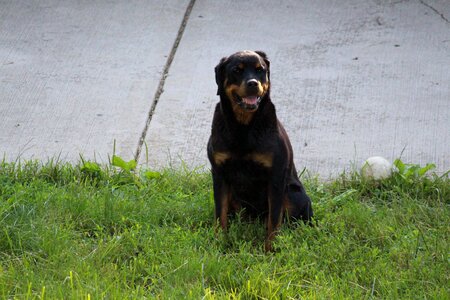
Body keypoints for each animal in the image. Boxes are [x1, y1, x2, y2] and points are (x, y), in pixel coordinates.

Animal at [207, 49, 312, 251]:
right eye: (236, 70)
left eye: (260, 69)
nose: (253, 83)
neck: (243, 127)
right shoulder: (219, 174)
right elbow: (219, 213)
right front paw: (219, 242)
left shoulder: (276, 176)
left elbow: (274, 219)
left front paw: (270, 249)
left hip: (293, 192)